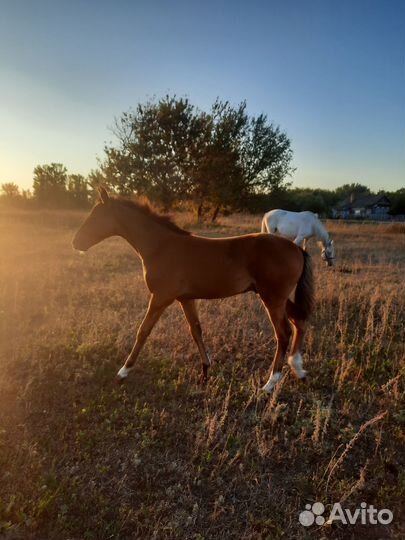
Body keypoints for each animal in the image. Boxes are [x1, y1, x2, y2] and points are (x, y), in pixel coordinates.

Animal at [72, 188, 312, 394]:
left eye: (96, 217)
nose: (76, 243)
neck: (161, 247)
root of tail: (296, 248)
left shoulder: (160, 297)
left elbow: (143, 331)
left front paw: (122, 373)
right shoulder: (186, 299)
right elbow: (196, 331)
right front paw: (205, 371)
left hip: (272, 298)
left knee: (283, 333)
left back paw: (270, 384)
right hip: (279, 297)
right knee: (299, 322)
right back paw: (298, 369)